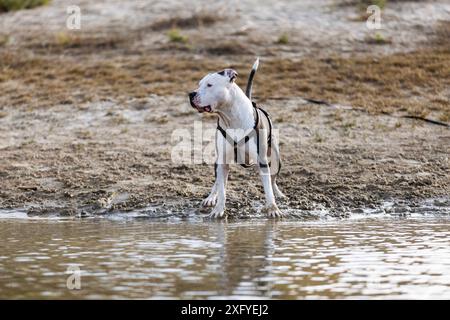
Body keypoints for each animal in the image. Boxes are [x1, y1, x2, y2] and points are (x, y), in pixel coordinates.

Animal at [189, 58, 284, 218]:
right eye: (199, 84)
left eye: (209, 85)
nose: (191, 94)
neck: (230, 118)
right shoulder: (222, 161)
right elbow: (222, 189)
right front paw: (218, 209)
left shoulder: (262, 160)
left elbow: (268, 189)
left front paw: (273, 208)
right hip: (218, 162)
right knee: (217, 182)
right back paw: (211, 197)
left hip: (276, 159)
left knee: (273, 179)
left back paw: (278, 193)